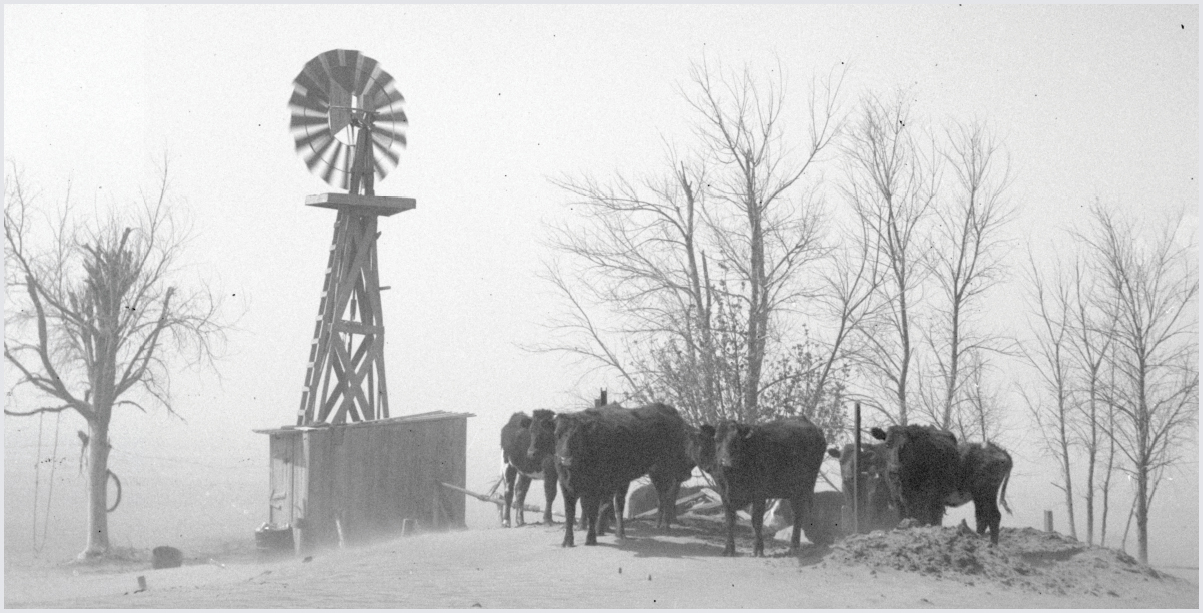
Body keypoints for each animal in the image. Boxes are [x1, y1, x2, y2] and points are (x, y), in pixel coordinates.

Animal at [538, 401, 692, 545]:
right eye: (557, 435)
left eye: (577, 436)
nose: (566, 460)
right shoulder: (566, 485)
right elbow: (570, 513)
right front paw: (568, 541)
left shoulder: (597, 486)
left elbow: (594, 510)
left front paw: (592, 538)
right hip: (651, 474)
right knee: (661, 496)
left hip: (667, 470)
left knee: (665, 497)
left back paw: (661, 526)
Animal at [697, 415, 827, 555]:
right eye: (716, 439)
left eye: (736, 441)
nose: (725, 463)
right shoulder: (724, 494)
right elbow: (730, 521)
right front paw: (729, 550)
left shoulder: (759, 495)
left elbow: (757, 521)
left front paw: (758, 549)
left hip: (804, 488)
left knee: (798, 516)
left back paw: (794, 547)